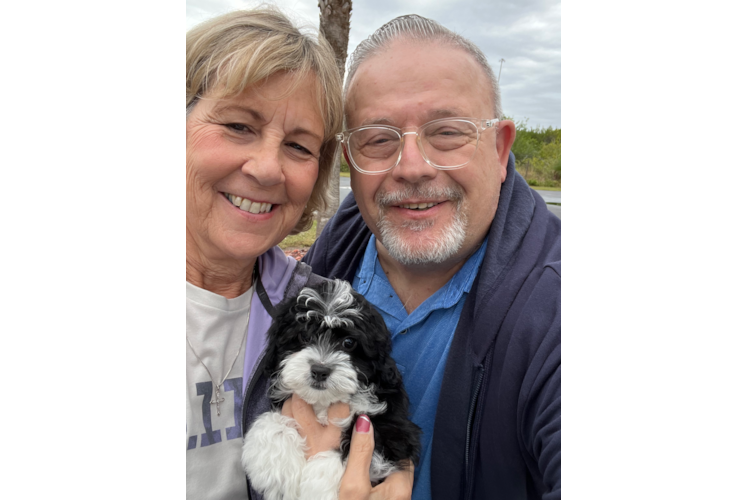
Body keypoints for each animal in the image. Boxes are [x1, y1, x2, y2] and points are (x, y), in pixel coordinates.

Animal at [241, 280, 420, 500]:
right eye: (304, 335)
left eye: (349, 343)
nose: (319, 370)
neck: (323, 402)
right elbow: (271, 421)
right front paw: (276, 470)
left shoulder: (395, 431)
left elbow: (350, 449)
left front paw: (318, 485)